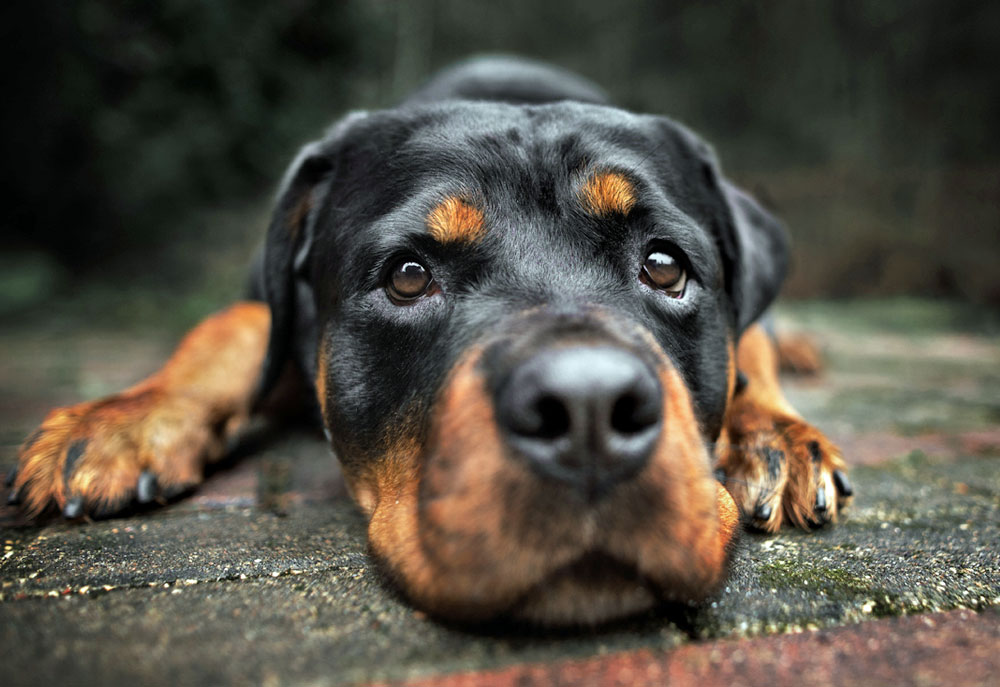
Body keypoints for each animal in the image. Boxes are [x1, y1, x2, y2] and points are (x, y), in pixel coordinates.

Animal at [5, 56, 852, 628]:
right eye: (408, 276)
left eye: (665, 265)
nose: (587, 409)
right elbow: (235, 327)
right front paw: (120, 420)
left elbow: (748, 350)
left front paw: (772, 434)